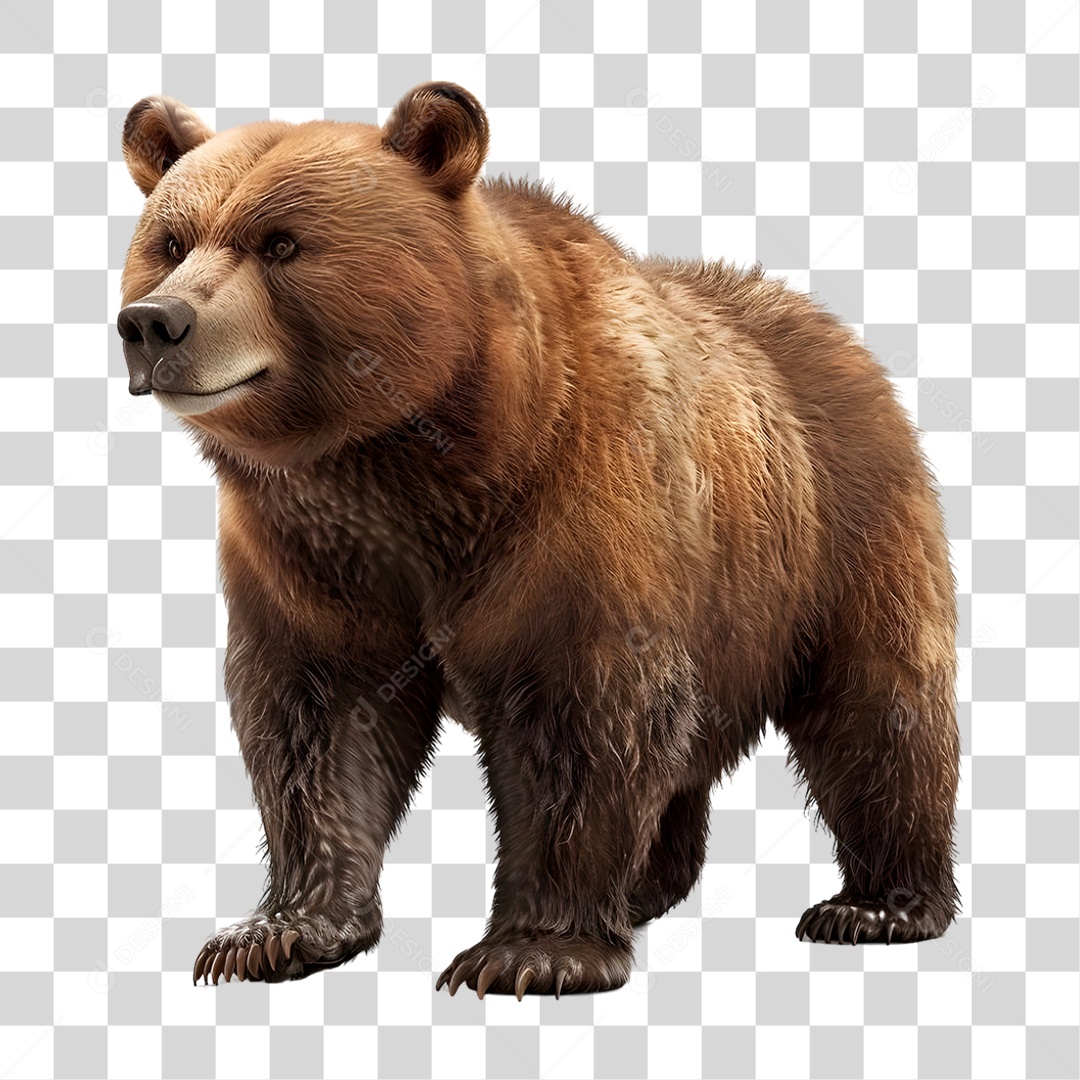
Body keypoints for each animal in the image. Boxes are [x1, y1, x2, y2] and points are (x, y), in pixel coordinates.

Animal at [117, 83, 961, 998]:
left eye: (280, 242)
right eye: (170, 241)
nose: (154, 323)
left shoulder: (575, 508)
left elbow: (583, 715)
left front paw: (531, 951)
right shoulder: (310, 558)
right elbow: (317, 720)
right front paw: (272, 934)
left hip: (841, 524)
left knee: (879, 707)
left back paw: (878, 905)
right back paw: (649, 886)